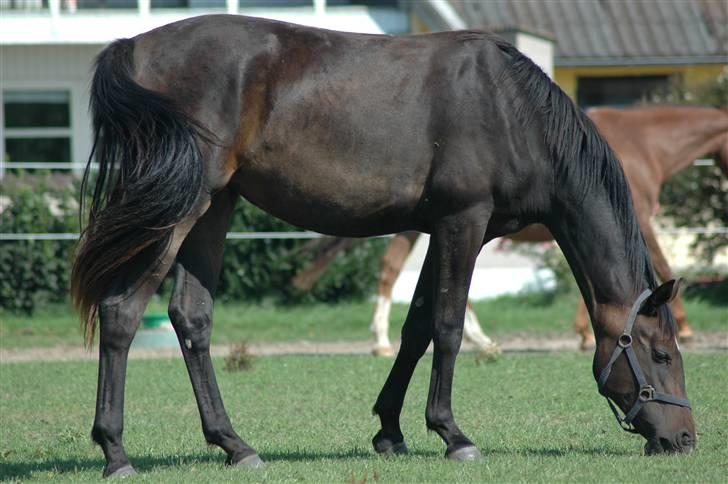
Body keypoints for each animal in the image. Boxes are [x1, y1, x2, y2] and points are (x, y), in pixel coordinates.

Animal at [294, 105, 724, 356]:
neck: (640, 146)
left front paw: (585, 333)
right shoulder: (639, 225)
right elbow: (664, 267)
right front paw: (684, 328)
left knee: (397, 270)